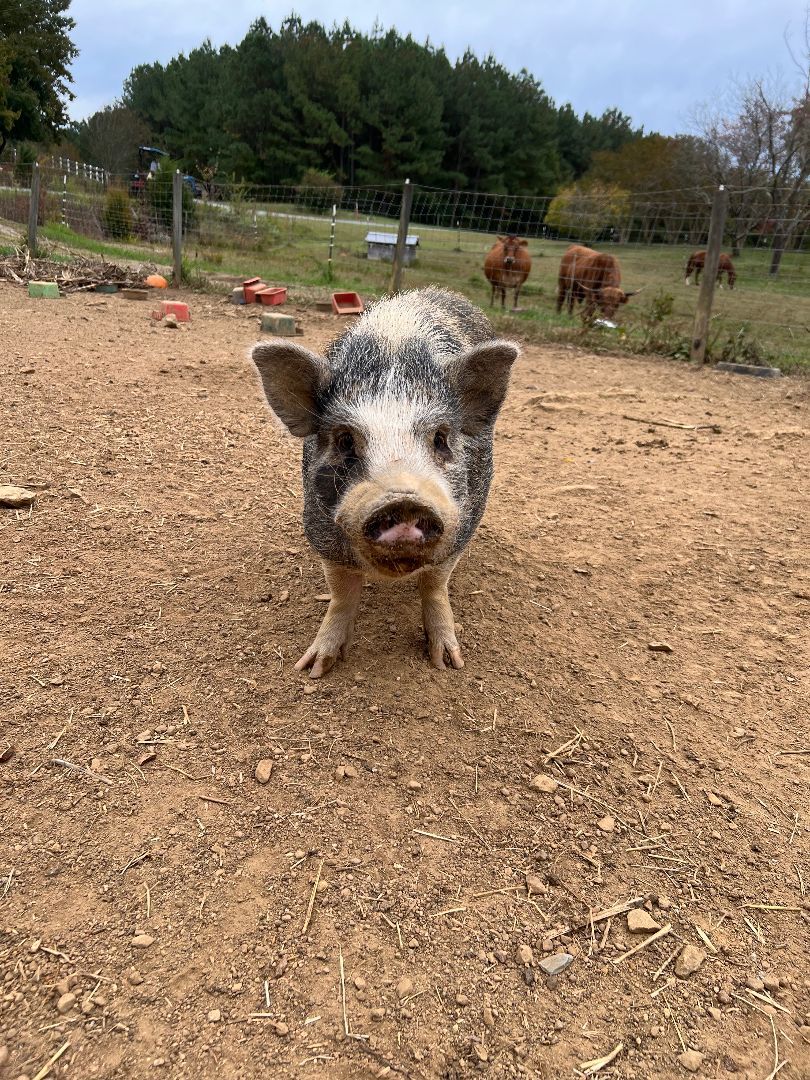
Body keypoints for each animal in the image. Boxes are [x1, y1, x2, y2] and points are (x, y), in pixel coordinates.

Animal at [250, 287, 519, 677]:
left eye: (441, 438)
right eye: (345, 440)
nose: (403, 499)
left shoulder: (464, 523)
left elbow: (435, 585)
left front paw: (448, 663)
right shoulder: (320, 530)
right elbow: (342, 594)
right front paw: (313, 668)